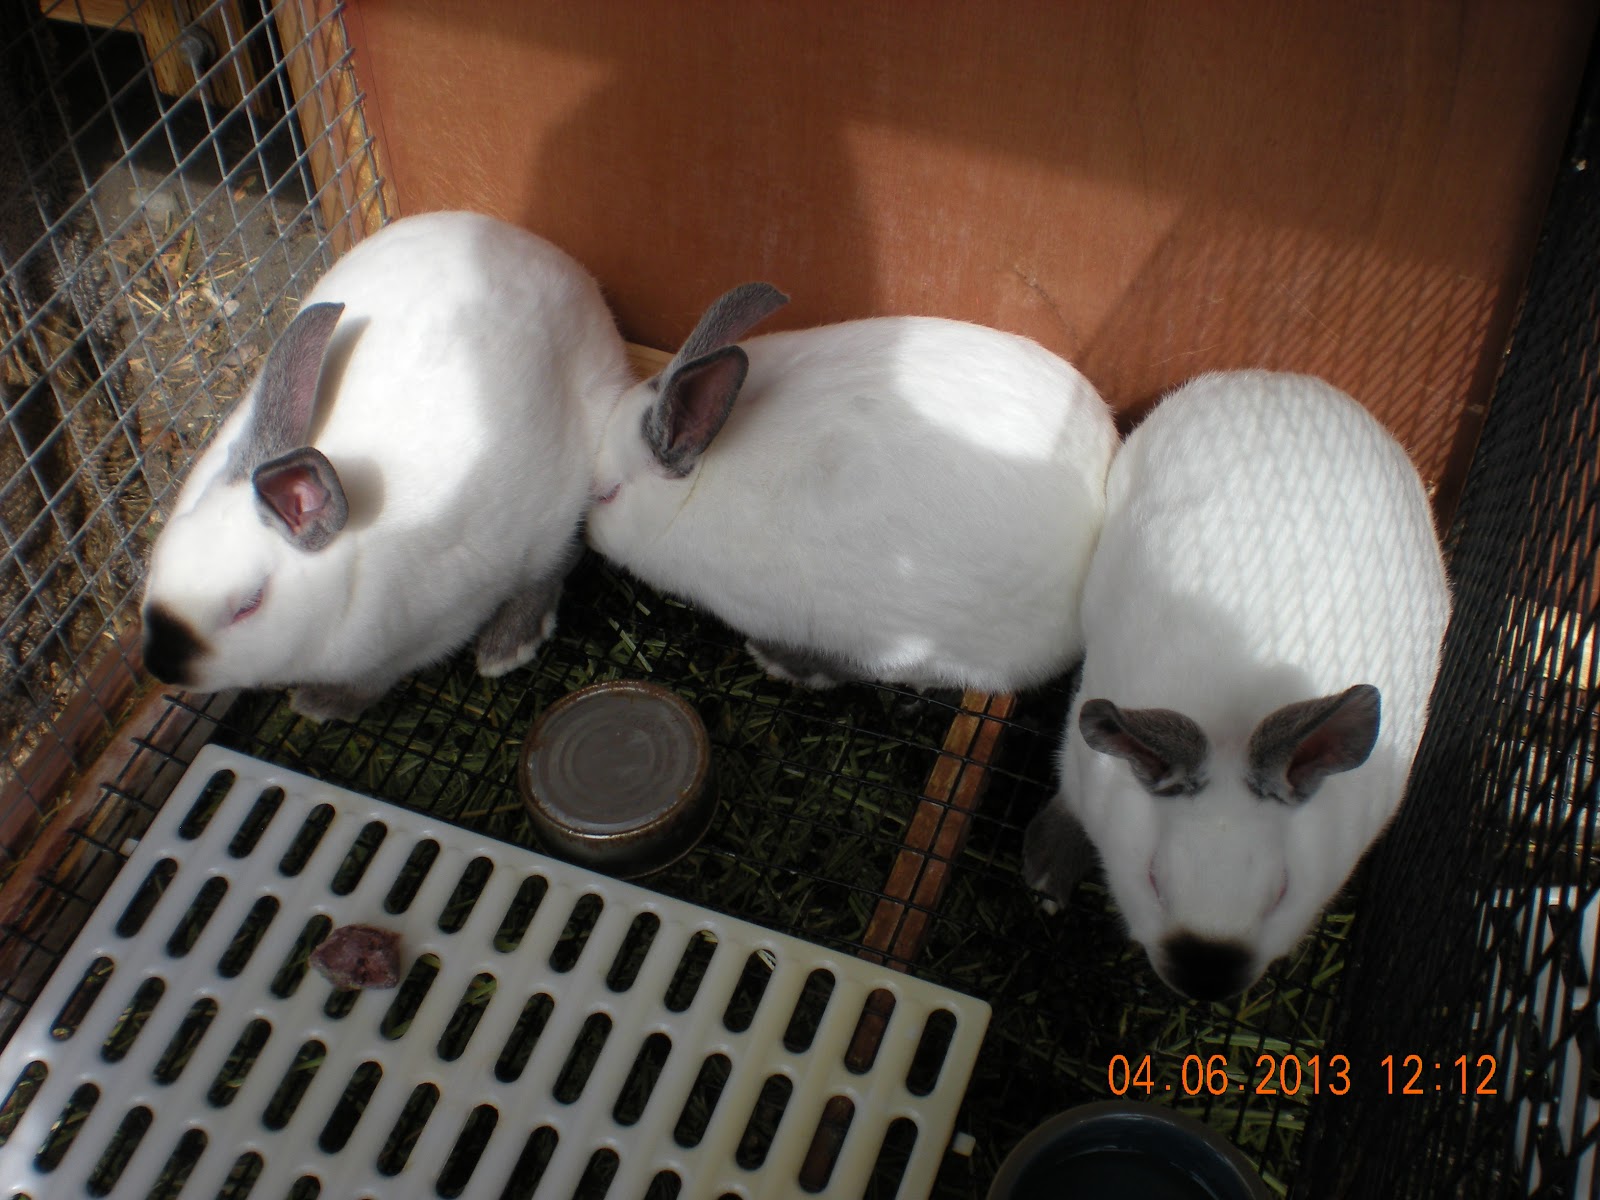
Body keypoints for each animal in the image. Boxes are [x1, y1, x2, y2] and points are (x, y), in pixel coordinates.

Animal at [140, 211, 633, 721]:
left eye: (248, 605)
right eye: (156, 563)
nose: (160, 666)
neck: (345, 570)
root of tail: (573, 273)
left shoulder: (427, 634)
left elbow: (372, 683)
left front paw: (320, 704)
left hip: (563, 502)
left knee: (558, 561)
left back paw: (506, 647)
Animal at [1023, 370, 1450, 1002]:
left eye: (1282, 892)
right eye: (1154, 879)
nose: (1204, 980)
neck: (1232, 728)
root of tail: (1285, 382)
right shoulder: (1079, 764)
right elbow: (1069, 805)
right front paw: (1047, 872)